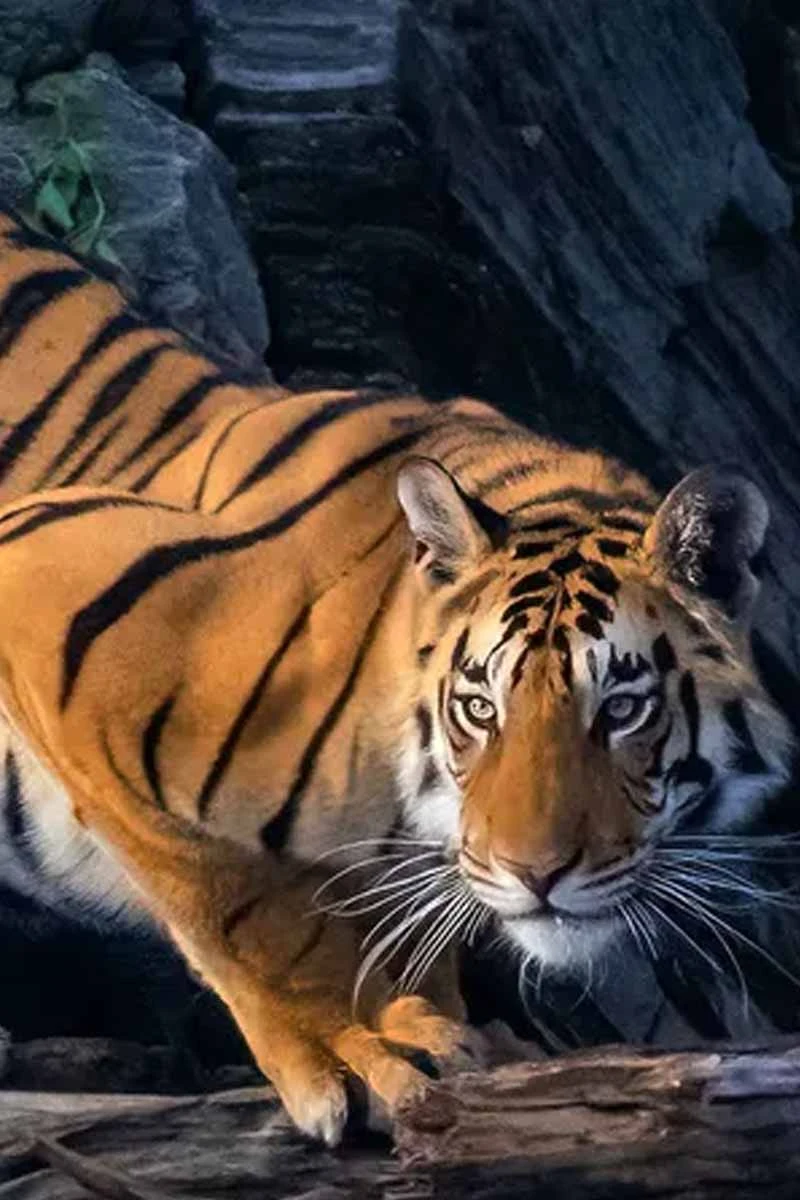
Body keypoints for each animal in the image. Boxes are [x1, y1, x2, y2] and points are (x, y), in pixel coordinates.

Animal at [0, 208, 792, 1143]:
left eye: (623, 707)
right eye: (480, 707)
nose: (537, 877)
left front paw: (444, 1029)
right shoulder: (44, 575)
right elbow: (246, 910)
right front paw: (355, 1049)